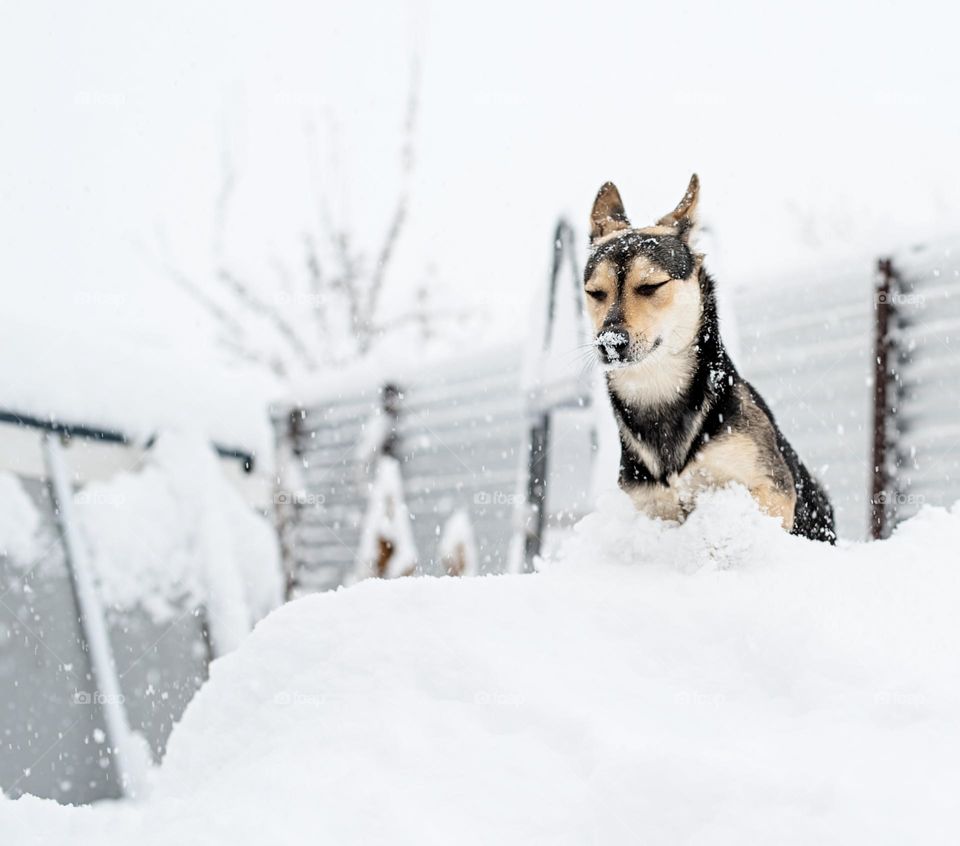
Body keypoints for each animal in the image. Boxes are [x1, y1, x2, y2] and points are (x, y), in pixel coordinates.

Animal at [580, 175, 836, 544]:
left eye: (650, 286)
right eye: (595, 293)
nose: (609, 342)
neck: (658, 390)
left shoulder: (772, 487)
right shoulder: (654, 507)